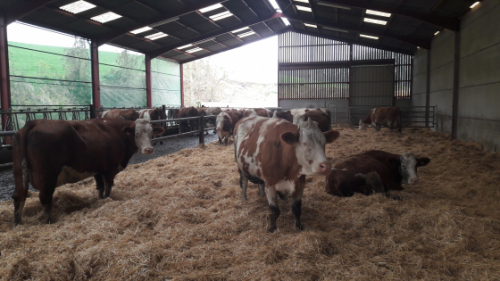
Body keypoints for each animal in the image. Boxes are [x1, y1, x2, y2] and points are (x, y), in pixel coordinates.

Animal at [11, 117, 164, 224]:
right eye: (136, 133)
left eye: (151, 133)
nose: (149, 149)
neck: (117, 132)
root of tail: (35, 122)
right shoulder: (110, 169)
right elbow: (108, 187)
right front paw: (108, 200)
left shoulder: (97, 169)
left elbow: (100, 187)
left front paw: (101, 200)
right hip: (48, 176)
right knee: (45, 198)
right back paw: (50, 221)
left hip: (19, 172)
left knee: (19, 196)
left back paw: (18, 223)